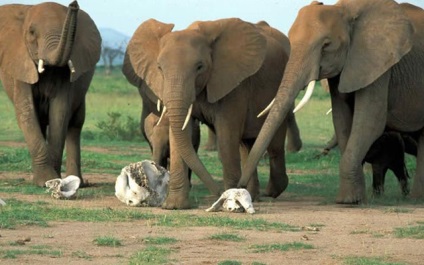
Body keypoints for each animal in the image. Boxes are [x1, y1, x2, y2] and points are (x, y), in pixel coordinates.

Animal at [0, 1, 102, 186]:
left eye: (74, 34)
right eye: (32, 32)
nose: (74, 4)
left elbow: (60, 114)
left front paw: (54, 181)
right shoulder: (21, 64)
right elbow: (26, 113)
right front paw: (45, 181)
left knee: (75, 124)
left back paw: (77, 182)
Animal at [121, 18, 302, 208]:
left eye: (200, 67)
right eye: (159, 68)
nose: (217, 193)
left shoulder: (234, 84)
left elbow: (226, 135)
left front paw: (232, 203)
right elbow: (181, 133)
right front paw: (174, 207)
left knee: (273, 144)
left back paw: (270, 191)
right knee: (247, 145)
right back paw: (252, 195)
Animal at [237, 0, 424, 202]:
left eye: (326, 45)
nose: (239, 187)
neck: (344, 10)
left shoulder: (379, 64)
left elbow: (370, 123)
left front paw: (348, 201)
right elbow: (341, 119)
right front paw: (353, 198)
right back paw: (417, 198)